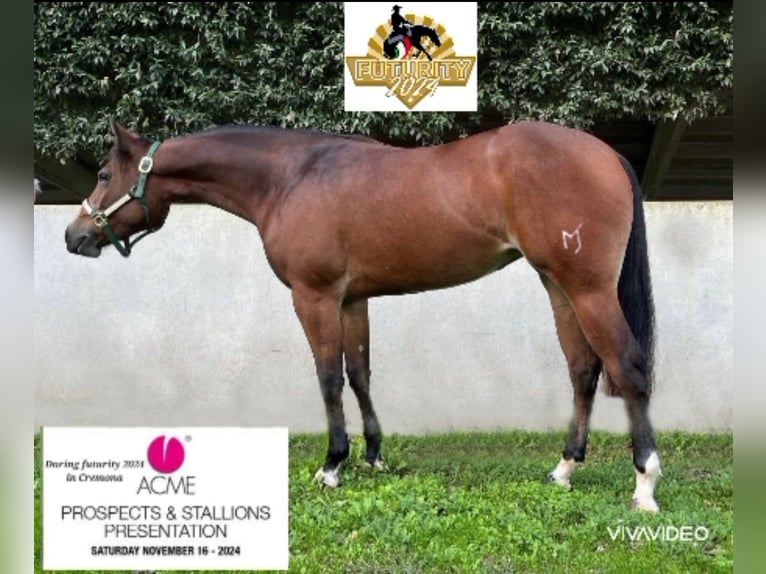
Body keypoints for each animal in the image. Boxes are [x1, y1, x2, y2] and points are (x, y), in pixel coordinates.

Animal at [65, 118, 661, 512]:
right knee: (583, 369)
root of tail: (607, 154)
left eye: (103, 173)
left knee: (628, 368)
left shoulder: (315, 297)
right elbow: (360, 373)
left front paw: (333, 464)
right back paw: (565, 468)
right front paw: (373, 455)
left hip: (588, 289)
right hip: (558, 286)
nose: (75, 237)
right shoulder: (352, 300)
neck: (290, 176)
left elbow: (329, 378)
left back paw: (645, 484)